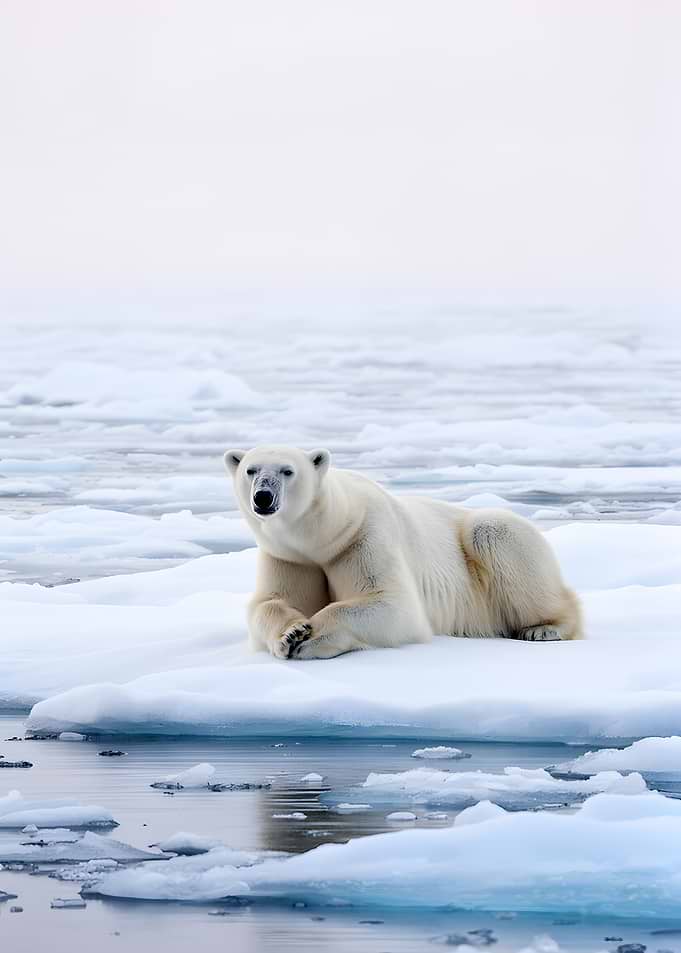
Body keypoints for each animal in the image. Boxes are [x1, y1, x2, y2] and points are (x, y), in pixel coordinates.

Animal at [224, 445, 583, 660]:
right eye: (251, 470)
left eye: (288, 471)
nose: (263, 497)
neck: (324, 537)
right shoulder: (290, 556)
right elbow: (270, 602)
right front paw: (291, 633)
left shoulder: (364, 537)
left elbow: (394, 605)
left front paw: (311, 637)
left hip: (494, 544)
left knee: (495, 533)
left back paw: (544, 628)